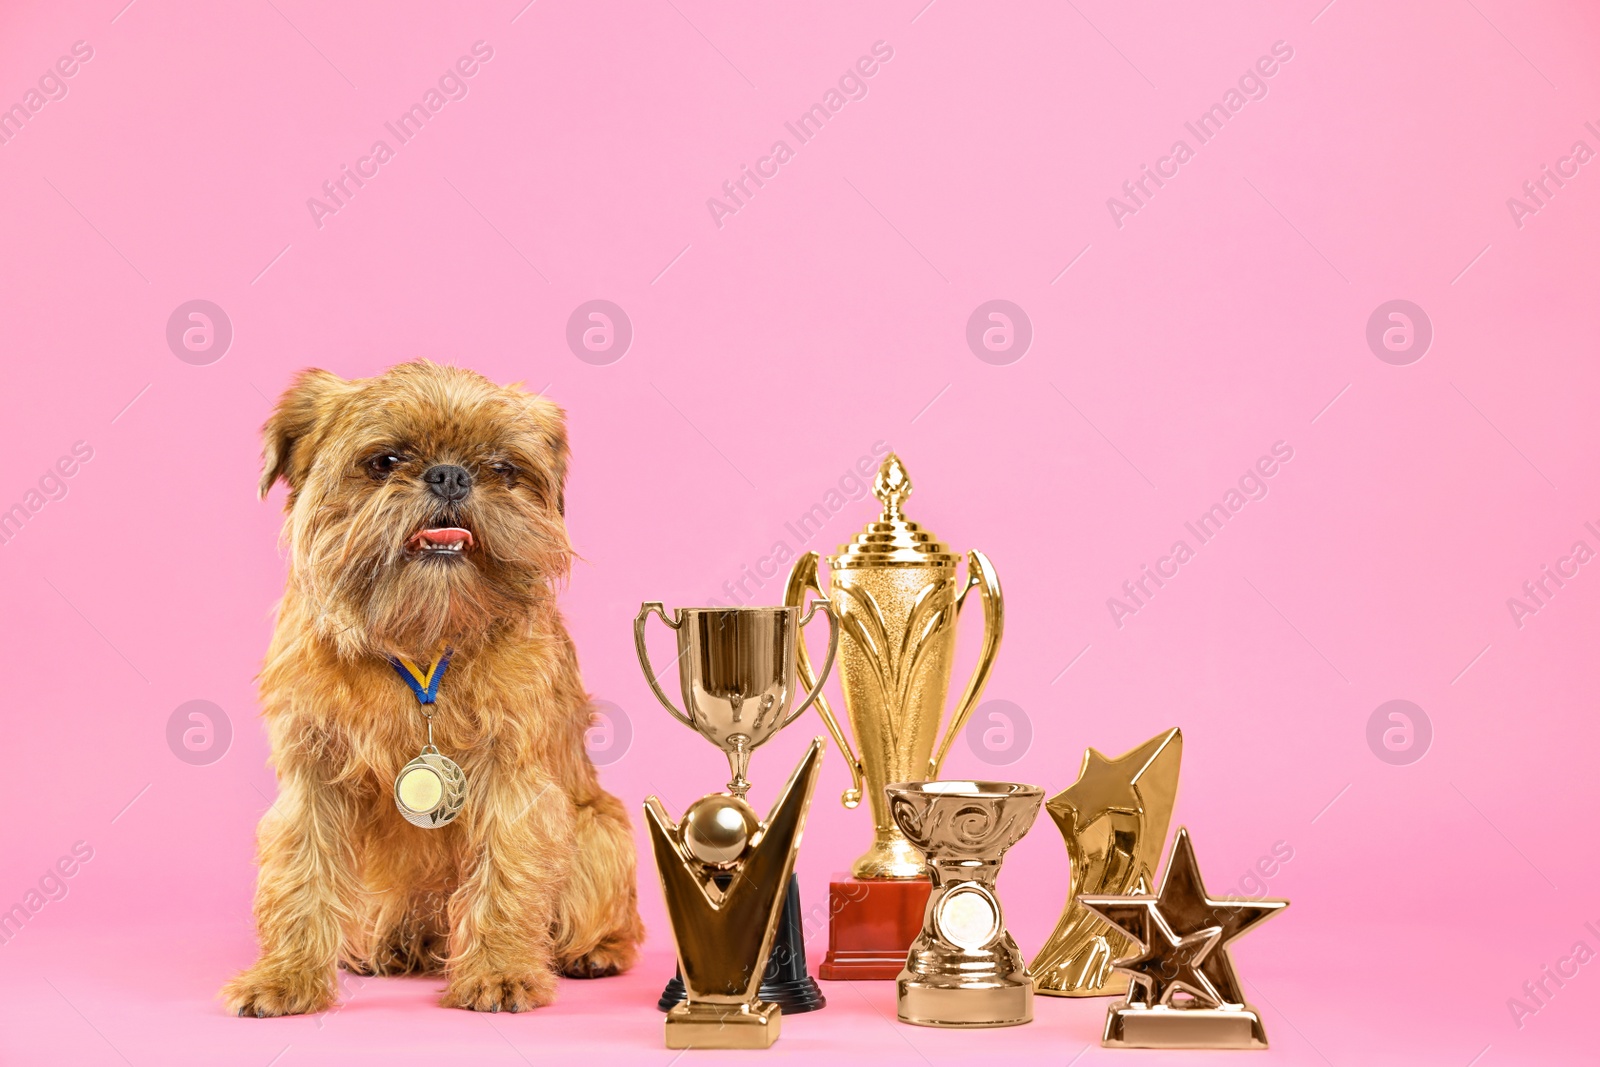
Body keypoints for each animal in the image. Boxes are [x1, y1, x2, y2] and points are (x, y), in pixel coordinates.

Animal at [220, 361, 643, 1017]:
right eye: (385, 461)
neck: (421, 640)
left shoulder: (513, 782)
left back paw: (594, 952)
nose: (450, 474)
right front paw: (284, 977)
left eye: (502, 469)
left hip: (601, 831)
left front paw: (498, 973)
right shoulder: (311, 778)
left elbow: (508, 874)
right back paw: (391, 951)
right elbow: (299, 875)